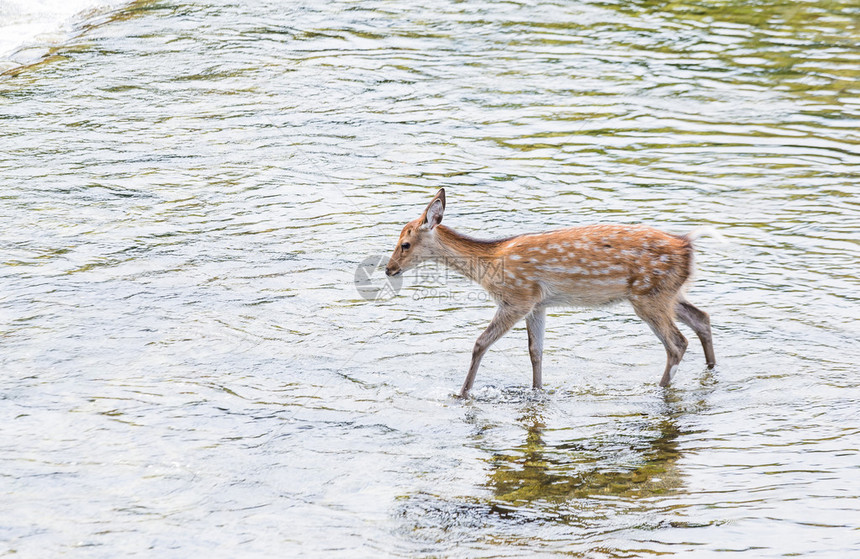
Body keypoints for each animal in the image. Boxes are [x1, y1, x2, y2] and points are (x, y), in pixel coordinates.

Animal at [386, 190, 716, 400]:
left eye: (405, 244)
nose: (389, 269)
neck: (489, 265)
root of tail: (688, 246)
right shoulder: (538, 304)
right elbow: (536, 351)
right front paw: (537, 391)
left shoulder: (517, 297)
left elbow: (480, 343)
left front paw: (462, 394)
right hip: (668, 293)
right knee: (702, 317)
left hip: (649, 295)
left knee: (677, 343)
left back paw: (659, 389)